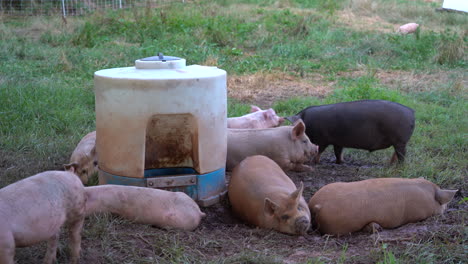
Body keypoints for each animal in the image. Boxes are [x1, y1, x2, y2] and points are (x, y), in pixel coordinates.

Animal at [286, 99, 414, 164]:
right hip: (399, 142)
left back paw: (398, 167)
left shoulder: (323, 140)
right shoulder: (337, 142)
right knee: (396, 154)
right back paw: (391, 165)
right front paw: (340, 162)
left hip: (400, 141)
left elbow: (320, 151)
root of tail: (412, 112)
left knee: (402, 155)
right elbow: (338, 152)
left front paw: (315, 162)